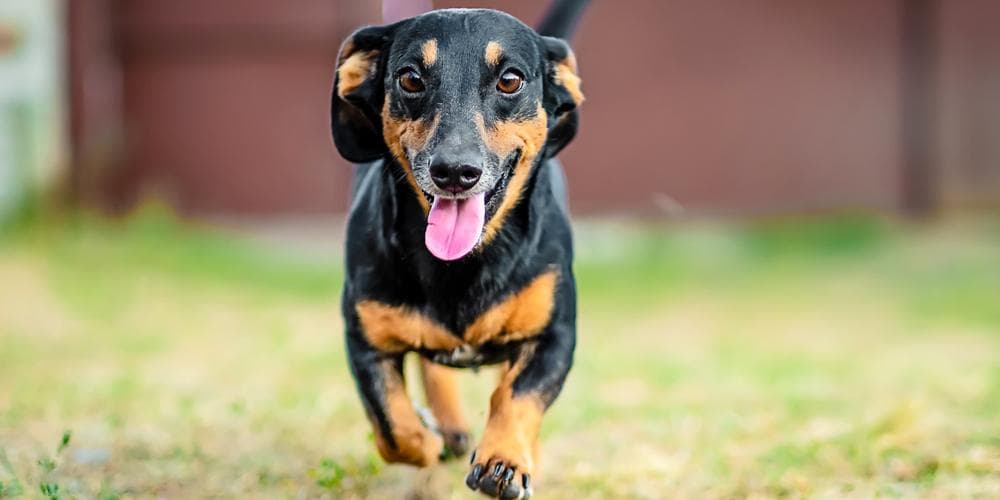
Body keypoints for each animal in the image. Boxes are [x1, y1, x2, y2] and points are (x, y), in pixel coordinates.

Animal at [332, 2, 588, 496]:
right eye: (411, 78)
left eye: (510, 80)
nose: (454, 171)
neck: (464, 264)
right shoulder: (365, 341)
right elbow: (393, 427)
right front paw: (429, 438)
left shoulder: (555, 335)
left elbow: (517, 394)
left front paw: (504, 460)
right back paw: (447, 429)